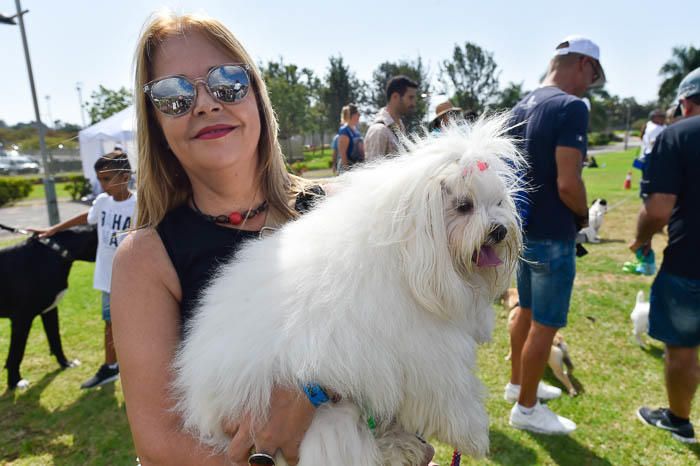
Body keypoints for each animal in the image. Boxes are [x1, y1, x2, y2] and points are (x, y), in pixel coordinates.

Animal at [0, 226, 97, 390]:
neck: (56, 252)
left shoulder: (50, 310)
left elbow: (55, 339)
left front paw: (65, 363)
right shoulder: (22, 319)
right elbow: (16, 353)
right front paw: (15, 382)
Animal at [174, 114, 524, 464]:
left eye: (498, 202)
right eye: (464, 206)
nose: (499, 230)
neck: (407, 251)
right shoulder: (426, 349)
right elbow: (452, 393)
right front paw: (474, 434)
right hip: (324, 420)